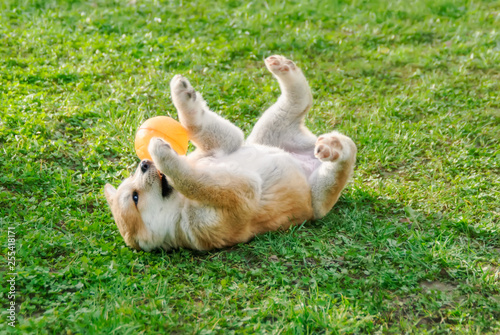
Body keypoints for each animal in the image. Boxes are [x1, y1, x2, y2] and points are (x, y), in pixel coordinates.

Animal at [105, 55, 356, 252]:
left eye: (132, 180)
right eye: (135, 198)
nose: (144, 164)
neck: (180, 205)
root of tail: (309, 152)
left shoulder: (222, 146)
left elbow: (194, 125)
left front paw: (182, 95)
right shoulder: (239, 195)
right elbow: (192, 180)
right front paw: (161, 153)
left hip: (267, 132)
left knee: (300, 100)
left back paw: (284, 69)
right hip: (319, 198)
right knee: (346, 155)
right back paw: (334, 148)